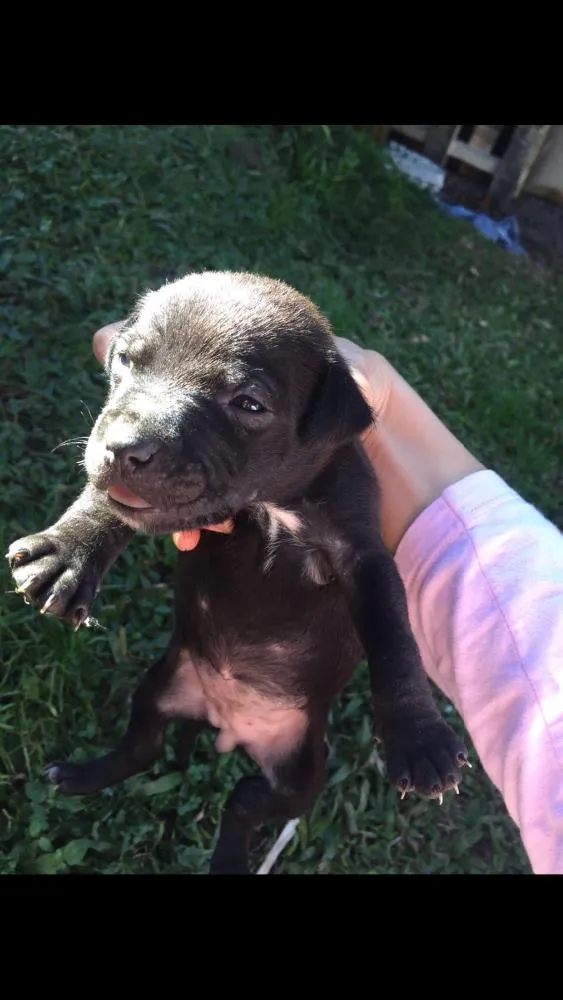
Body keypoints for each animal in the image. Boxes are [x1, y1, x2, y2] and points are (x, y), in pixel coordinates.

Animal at [7, 274, 468, 876]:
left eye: (248, 404)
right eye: (126, 360)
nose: (124, 447)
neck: (266, 505)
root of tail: (225, 726)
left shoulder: (363, 556)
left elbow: (394, 637)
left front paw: (418, 736)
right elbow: (110, 506)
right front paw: (67, 553)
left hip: (299, 775)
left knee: (245, 802)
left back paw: (227, 857)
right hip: (158, 689)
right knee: (143, 747)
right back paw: (81, 775)